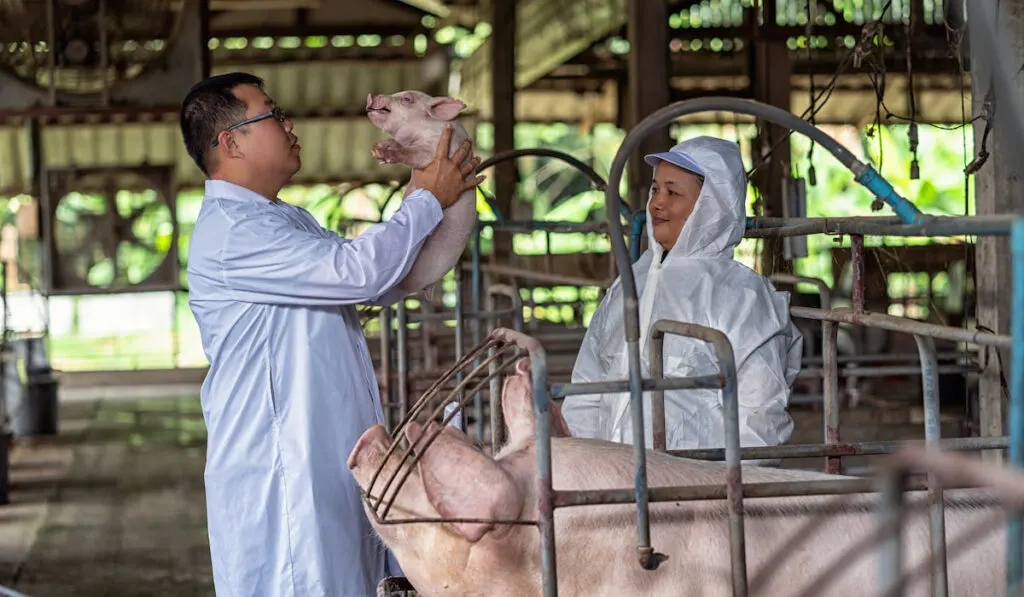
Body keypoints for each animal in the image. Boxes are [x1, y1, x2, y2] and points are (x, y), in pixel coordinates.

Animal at [368, 90, 479, 294]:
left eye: (406, 99)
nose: (372, 95)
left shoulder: (432, 150)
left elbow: (412, 154)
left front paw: (382, 153)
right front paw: (377, 149)